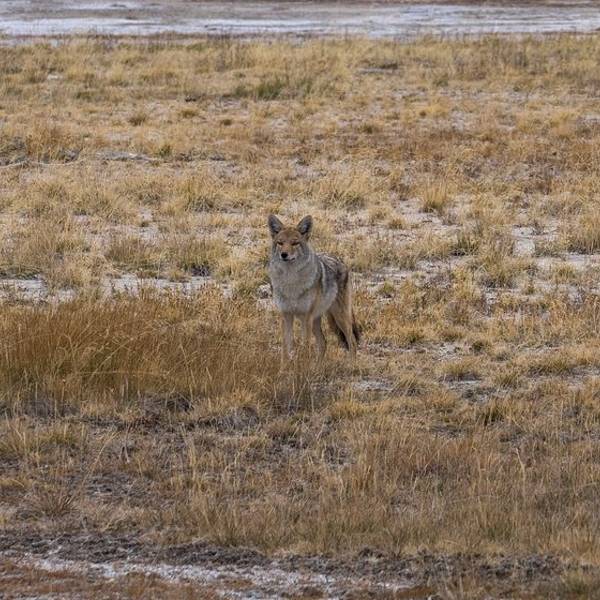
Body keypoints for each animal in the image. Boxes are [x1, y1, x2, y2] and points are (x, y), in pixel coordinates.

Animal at [267, 214, 360, 362]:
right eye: (280, 243)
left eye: (295, 243)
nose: (284, 254)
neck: (291, 282)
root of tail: (340, 260)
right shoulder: (286, 315)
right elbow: (285, 349)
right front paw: (284, 368)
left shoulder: (306, 317)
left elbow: (305, 347)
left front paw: (303, 367)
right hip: (317, 320)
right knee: (323, 343)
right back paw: (317, 366)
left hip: (339, 317)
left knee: (352, 341)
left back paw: (351, 365)